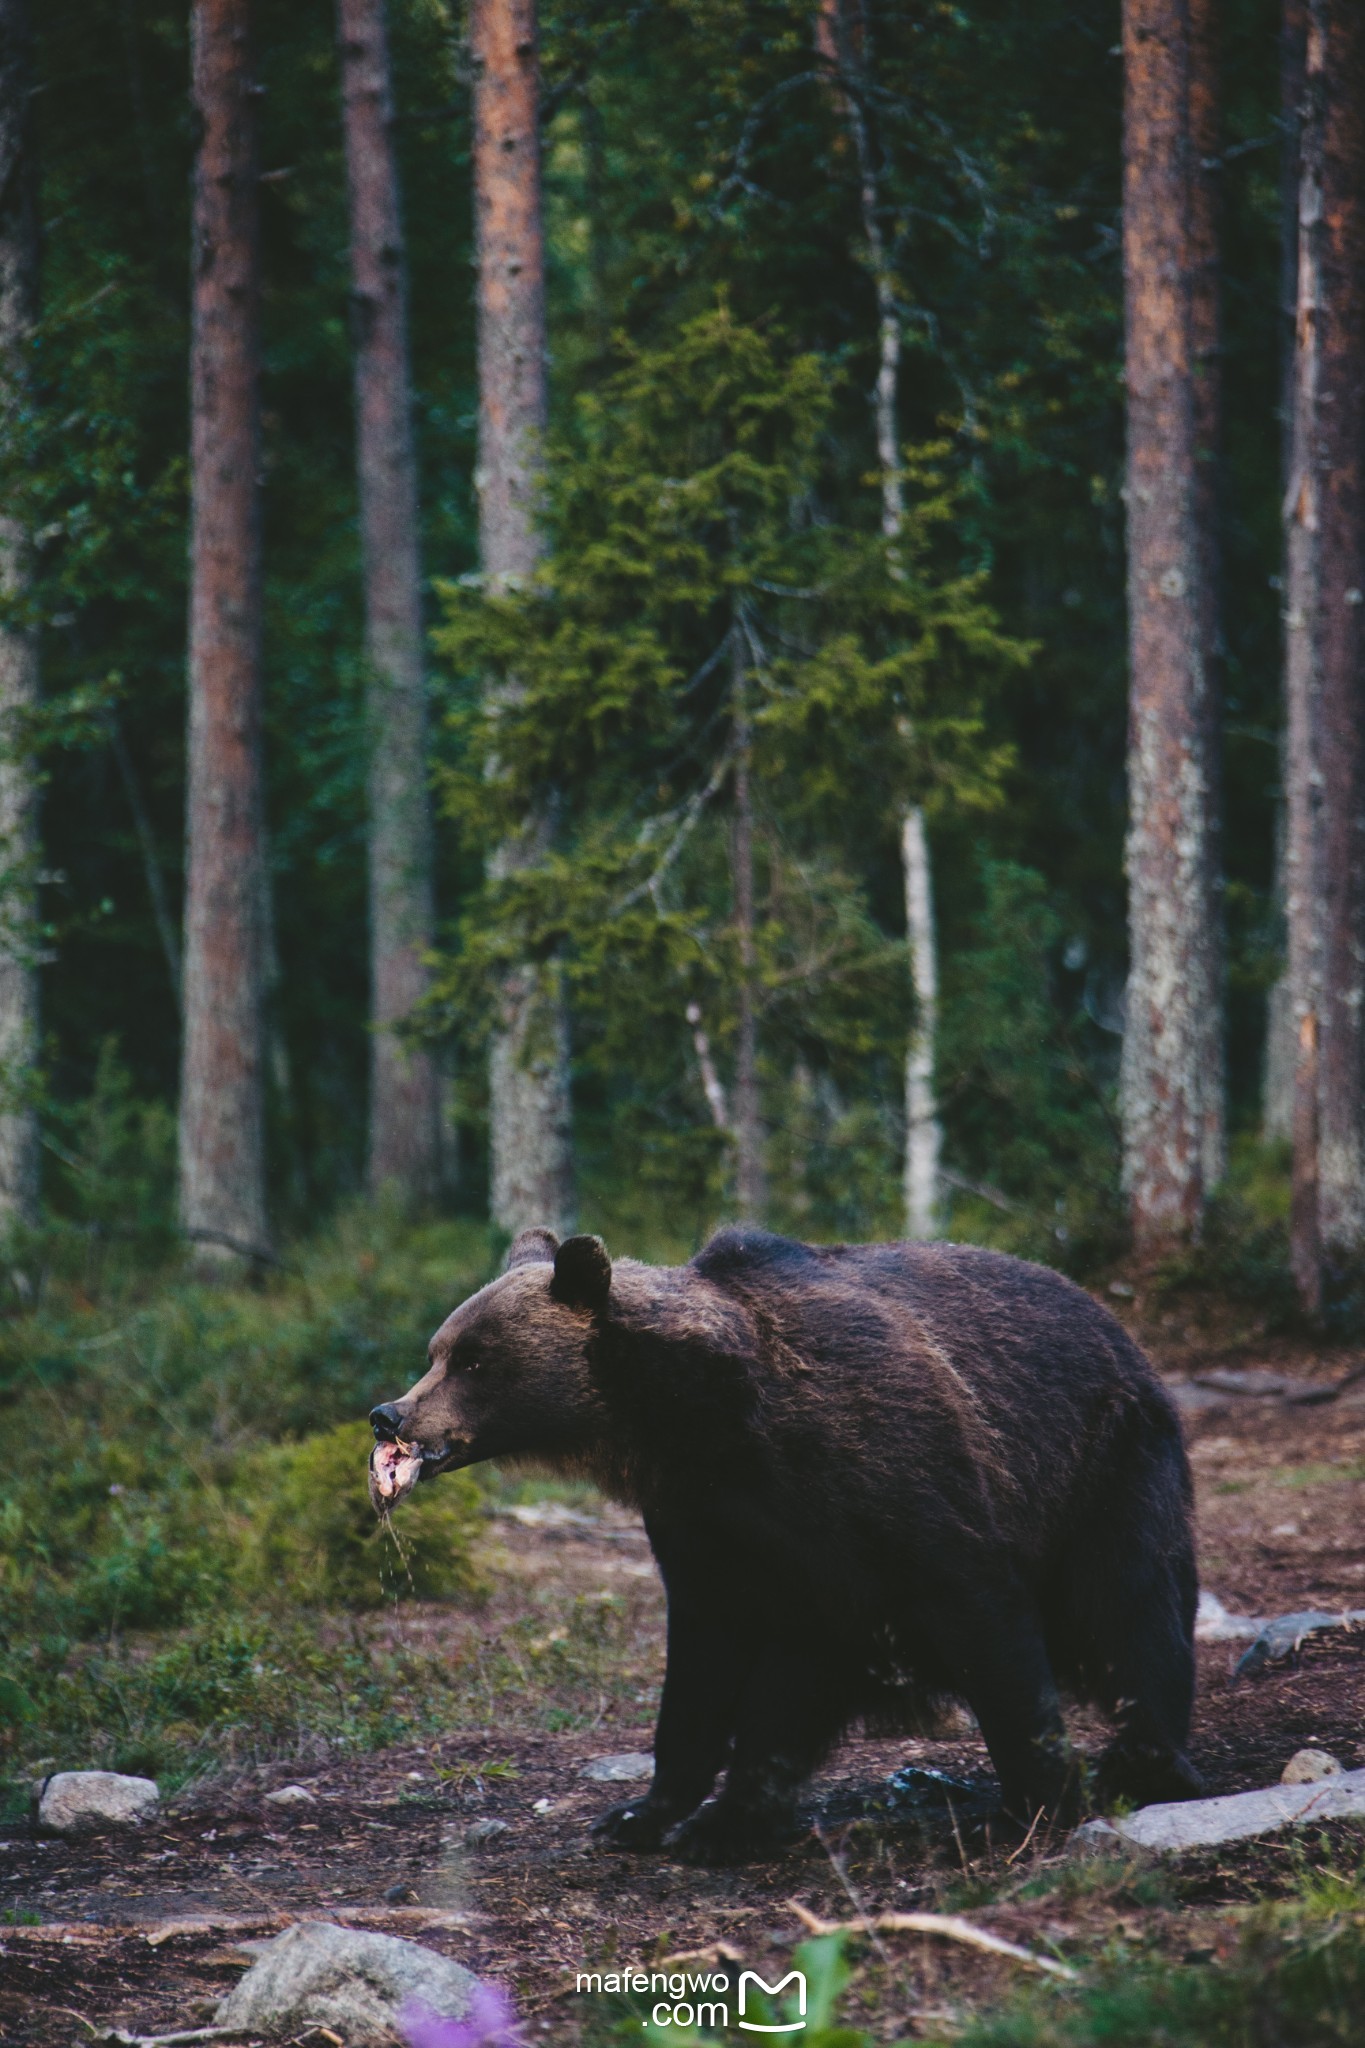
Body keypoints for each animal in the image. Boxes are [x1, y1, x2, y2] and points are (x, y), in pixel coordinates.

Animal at [368, 1220, 1203, 1867]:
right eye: (440, 1349)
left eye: (473, 1357)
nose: (390, 1414)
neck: (708, 1425)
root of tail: (1106, 1313)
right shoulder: (716, 1528)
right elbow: (704, 1670)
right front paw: (644, 1813)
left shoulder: (895, 1472)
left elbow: (982, 1612)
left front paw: (1040, 1797)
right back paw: (732, 1819)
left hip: (1108, 1462)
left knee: (1130, 1605)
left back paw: (1145, 1761)